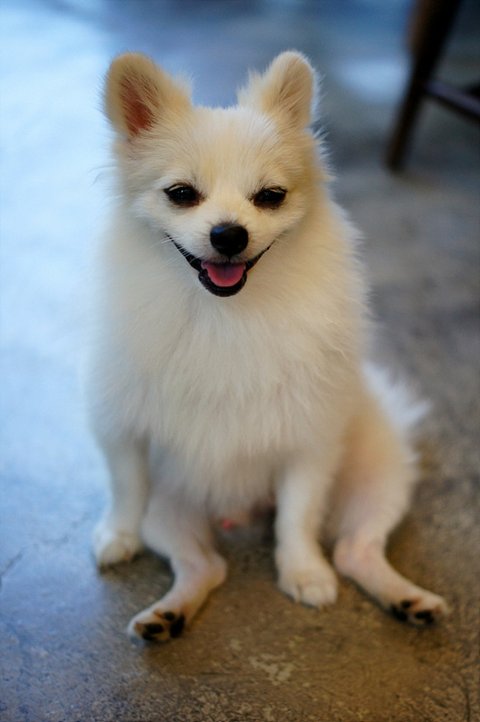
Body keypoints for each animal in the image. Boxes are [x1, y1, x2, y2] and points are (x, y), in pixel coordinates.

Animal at [90, 51, 448, 642]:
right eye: (181, 194)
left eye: (270, 197)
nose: (228, 234)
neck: (224, 314)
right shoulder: (124, 426)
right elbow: (126, 487)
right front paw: (118, 535)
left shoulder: (309, 444)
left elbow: (297, 517)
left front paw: (303, 571)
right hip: (174, 509)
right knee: (205, 565)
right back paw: (167, 616)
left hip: (377, 479)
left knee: (355, 549)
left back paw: (408, 600)